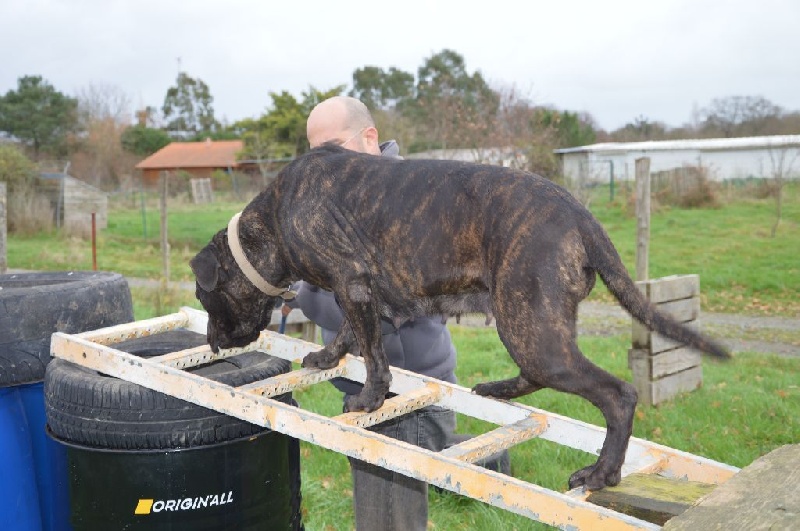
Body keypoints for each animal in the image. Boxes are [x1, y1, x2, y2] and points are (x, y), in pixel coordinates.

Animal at [191, 143, 728, 492]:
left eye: (203, 295)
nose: (214, 342)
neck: (273, 221)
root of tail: (580, 214)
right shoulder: (365, 295)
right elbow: (353, 335)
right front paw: (327, 356)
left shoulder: (352, 283)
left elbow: (374, 356)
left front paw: (368, 400)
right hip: (530, 324)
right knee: (537, 376)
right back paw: (497, 390)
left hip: (530, 329)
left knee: (617, 396)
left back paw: (602, 473)